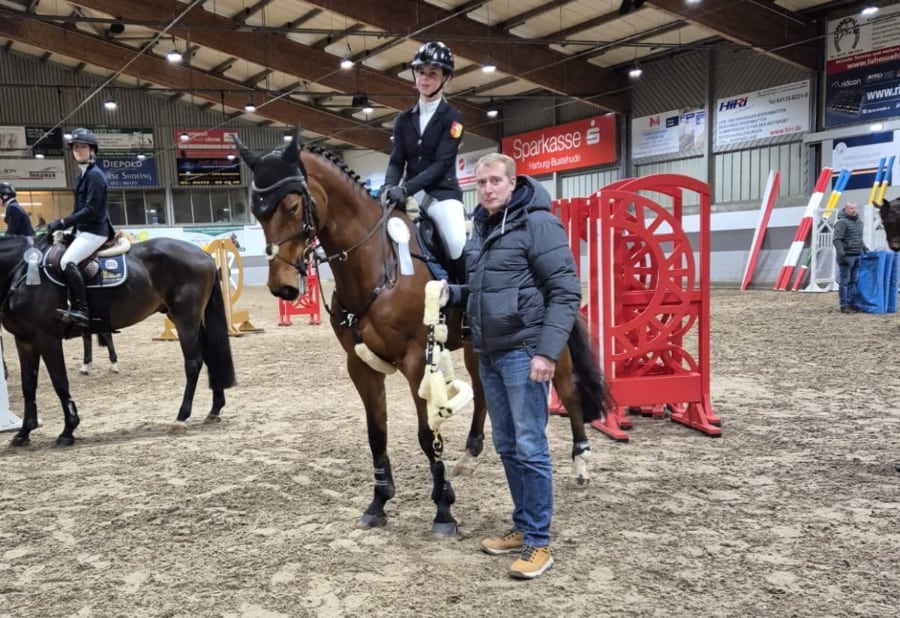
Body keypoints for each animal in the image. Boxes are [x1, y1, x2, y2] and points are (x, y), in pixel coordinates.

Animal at [0, 233, 237, 446]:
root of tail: (204, 254)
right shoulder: (25, 340)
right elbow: (28, 385)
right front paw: (23, 432)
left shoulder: (46, 338)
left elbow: (60, 382)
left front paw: (68, 430)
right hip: (193, 318)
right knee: (210, 357)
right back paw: (214, 410)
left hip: (185, 318)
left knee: (193, 363)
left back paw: (181, 418)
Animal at [234, 129, 612, 536]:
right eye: (257, 211)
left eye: (291, 206)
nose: (283, 287)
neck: (377, 266)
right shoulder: (360, 366)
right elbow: (376, 434)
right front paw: (379, 503)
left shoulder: (417, 360)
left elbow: (426, 434)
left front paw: (443, 509)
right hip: (476, 346)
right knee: (483, 391)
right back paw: (470, 455)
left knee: (569, 391)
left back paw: (580, 464)